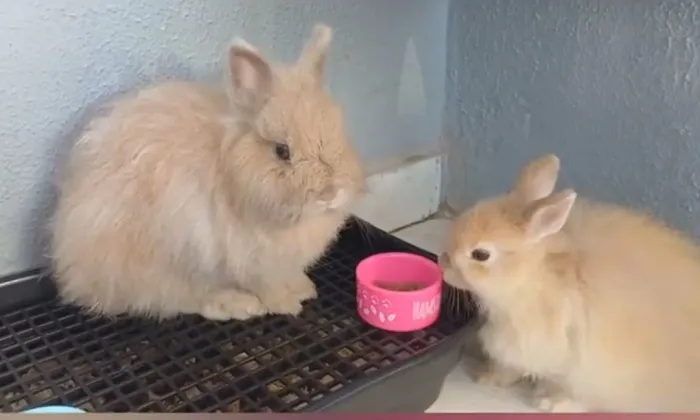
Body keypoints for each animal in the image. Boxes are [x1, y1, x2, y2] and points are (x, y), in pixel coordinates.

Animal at [49, 23, 366, 321]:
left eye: (340, 133)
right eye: (282, 151)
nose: (331, 193)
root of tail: (73, 273)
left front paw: (304, 288)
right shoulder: (250, 260)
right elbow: (266, 286)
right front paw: (286, 304)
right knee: (178, 298)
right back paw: (238, 304)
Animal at [438, 153, 700, 412]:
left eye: (481, 254)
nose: (443, 263)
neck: (529, 277)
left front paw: (541, 398)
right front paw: (487, 378)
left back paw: (553, 404)